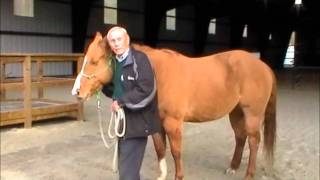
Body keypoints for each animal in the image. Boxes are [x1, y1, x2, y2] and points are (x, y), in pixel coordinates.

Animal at [76, 32, 276, 180]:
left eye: (94, 61)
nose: (77, 92)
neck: (157, 74)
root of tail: (264, 66)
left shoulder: (173, 123)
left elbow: (176, 152)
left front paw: (178, 176)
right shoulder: (157, 122)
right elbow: (160, 149)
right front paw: (162, 175)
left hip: (252, 114)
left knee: (253, 141)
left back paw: (249, 175)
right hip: (236, 112)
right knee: (240, 137)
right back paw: (233, 167)